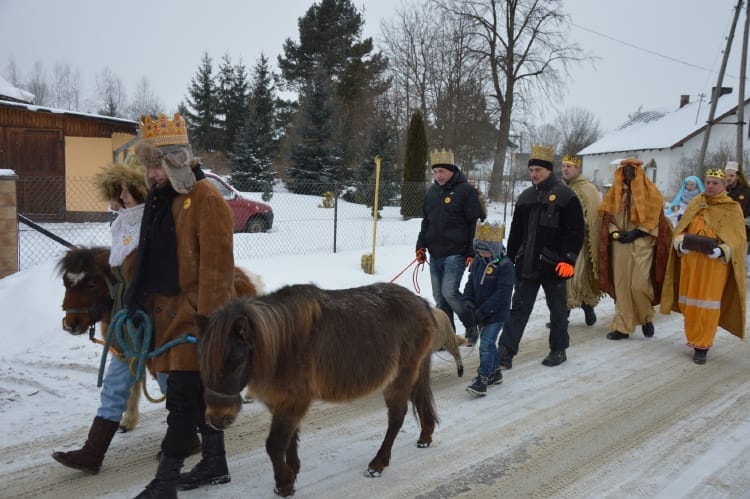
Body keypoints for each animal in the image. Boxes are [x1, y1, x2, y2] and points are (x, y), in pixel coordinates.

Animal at [56, 248, 262, 432]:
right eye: (66, 283)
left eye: (91, 284)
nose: (70, 324)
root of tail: (247, 278)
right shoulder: (129, 351)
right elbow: (133, 386)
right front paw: (128, 421)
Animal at [197, 284, 438, 498]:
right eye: (202, 362)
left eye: (237, 362)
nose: (216, 419)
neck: (282, 345)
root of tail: (422, 303)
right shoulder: (281, 403)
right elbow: (289, 439)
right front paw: (292, 473)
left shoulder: (293, 401)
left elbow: (274, 444)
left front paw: (283, 485)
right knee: (419, 400)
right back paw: (425, 436)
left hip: (400, 377)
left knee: (397, 417)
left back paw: (377, 464)